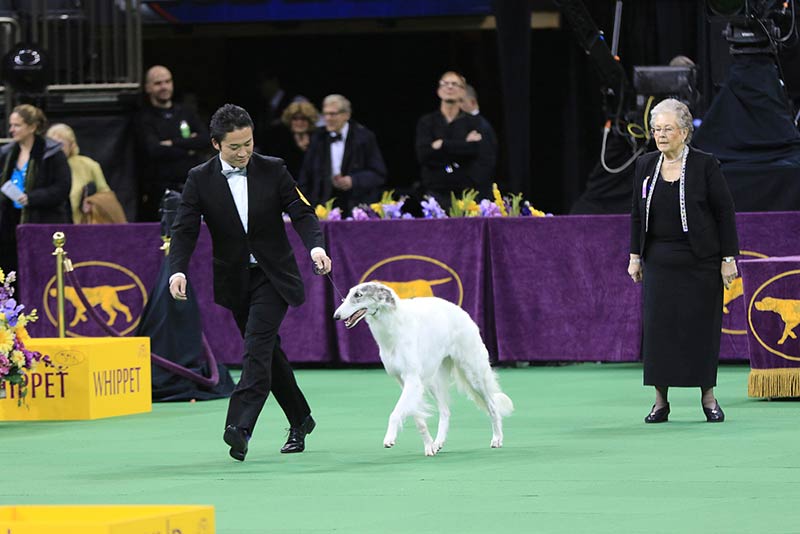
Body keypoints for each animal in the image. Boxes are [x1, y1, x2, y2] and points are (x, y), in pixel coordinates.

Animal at [332, 282, 512, 458]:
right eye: (348, 294)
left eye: (358, 295)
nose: (336, 316)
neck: (393, 326)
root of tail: (461, 311)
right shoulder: (405, 381)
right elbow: (419, 420)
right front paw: (429, 446)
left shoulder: (412, 379)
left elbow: (395, 413)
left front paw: (389, 438)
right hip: (434, 381)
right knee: (445, 412)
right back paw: (438, 442)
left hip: (473, 374)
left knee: (492, 406)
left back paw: (497, 438)